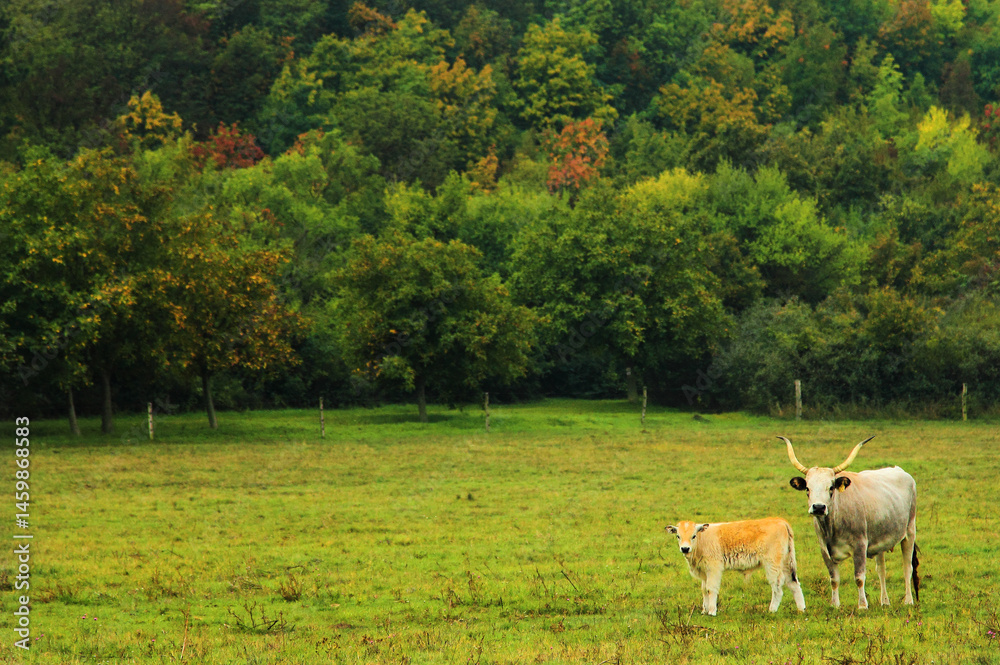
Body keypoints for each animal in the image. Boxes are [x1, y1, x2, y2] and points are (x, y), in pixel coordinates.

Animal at [666, 518, 806, 616]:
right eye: (678, 536)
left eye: (693, 536)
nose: (685, 548)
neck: (702, 540)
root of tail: (780, 520)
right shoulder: (704, 572)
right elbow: (704, 590)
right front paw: (704, 611)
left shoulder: (714, 568)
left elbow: (711, 589)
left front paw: (712, 611)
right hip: (786, 563)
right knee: (793, 583)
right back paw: (801, 610)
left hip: (772, 565)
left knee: (777, 588)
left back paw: (771, 610)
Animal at [779, 435, 919, 609]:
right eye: (807, 489)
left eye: (831, 487)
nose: (818, 507)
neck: (833, 526)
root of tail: (901, 471)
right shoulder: (825, 550)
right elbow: (834, 579)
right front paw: (835, 605)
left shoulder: (860, 546)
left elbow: (859, 577)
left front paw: (862, 605)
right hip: (880, 539)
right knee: (881, 570)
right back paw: (885, 602)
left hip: (909, 531)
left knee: (907, 567)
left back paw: (908, 600)